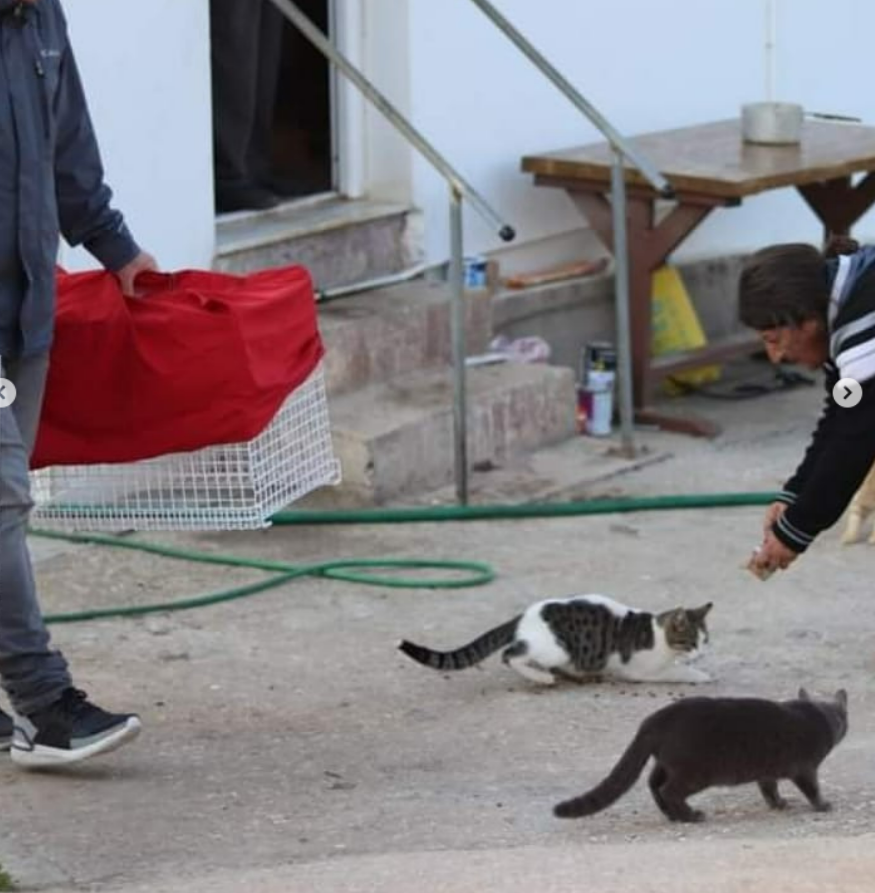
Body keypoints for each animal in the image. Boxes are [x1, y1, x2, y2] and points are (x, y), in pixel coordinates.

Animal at [400, 596, 716, 688]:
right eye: (691, 642)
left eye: (706, 640)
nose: (702, 652)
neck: (658, 635)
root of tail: (523, 616)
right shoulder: (641, 670)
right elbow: (676, 672)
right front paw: (699, 674)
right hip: (556, 649)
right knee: (510, 654)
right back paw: (542, 678)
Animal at [556, 688, 848, 824]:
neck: (819, 714)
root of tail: (656, 718)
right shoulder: (805, 769)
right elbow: (812, 789)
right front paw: (823, 805)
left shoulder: (767, 771)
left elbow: (769, 789)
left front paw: (778, 804)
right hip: (696, 772)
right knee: (669, 789)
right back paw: (690, 816)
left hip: (666, 763)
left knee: (654, 784)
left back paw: (672, 815)